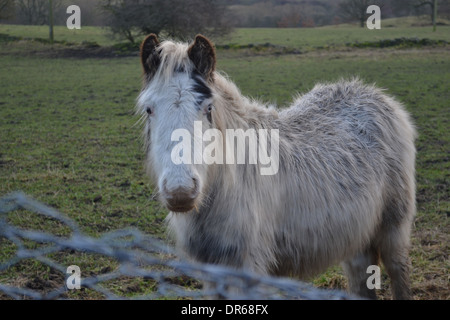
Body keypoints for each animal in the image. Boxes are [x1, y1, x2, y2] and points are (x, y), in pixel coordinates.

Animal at [135, 33, 416, 298]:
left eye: (208, 108)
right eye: (149, 110)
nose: (180, 192)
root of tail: (375, 95)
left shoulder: (247, 270)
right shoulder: (212, 273)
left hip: (393, 230)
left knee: (399, 273)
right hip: (355, 237)